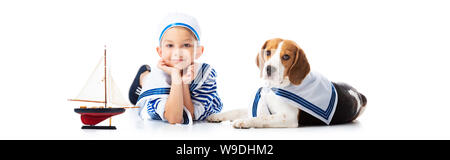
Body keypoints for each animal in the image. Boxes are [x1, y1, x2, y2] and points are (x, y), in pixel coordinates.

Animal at [207, 38, 366, 128]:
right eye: (268, 52)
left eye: (286, 57)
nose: (268, 68)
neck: (276, 87)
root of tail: (358, 94)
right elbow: (235, 110)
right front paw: (216, 116)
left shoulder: (288, 117)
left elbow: (261, 117)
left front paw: (244, 121)